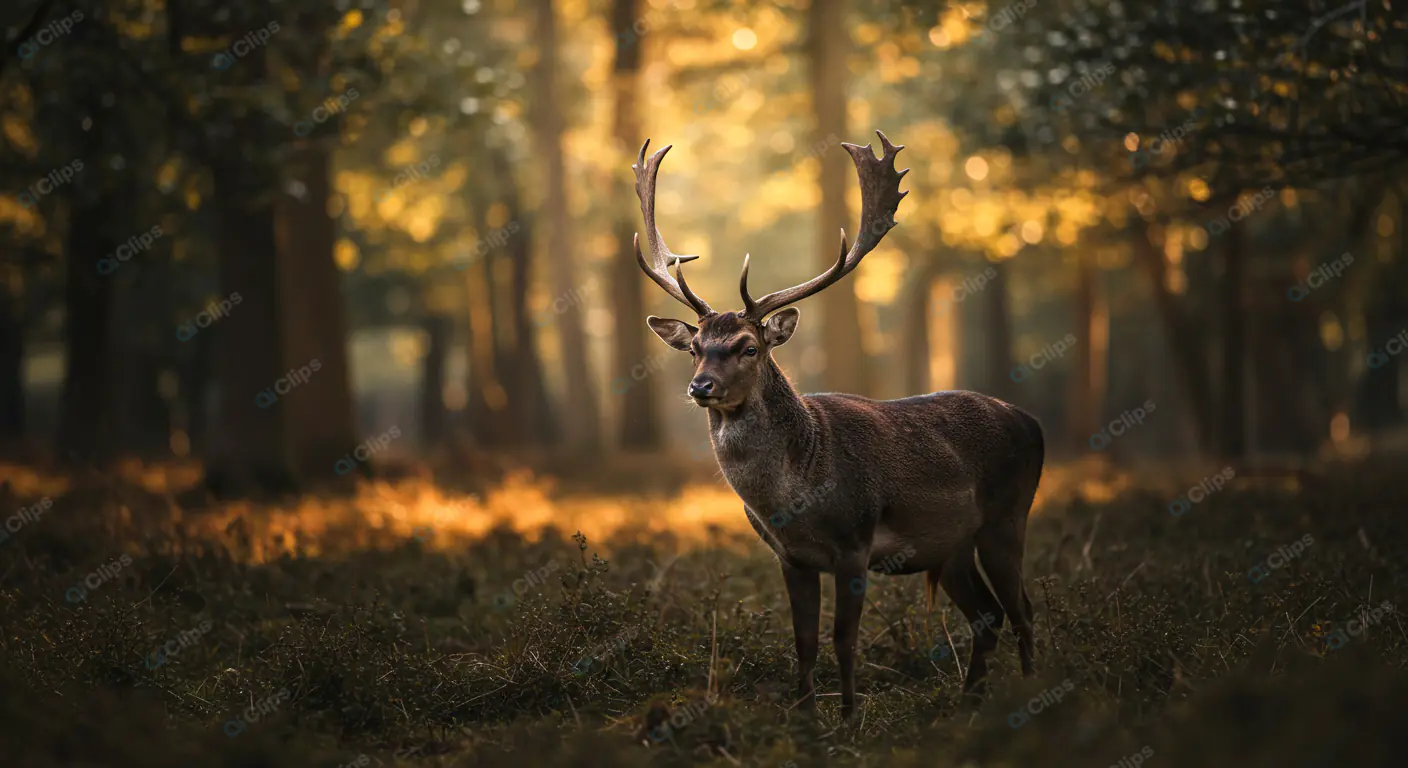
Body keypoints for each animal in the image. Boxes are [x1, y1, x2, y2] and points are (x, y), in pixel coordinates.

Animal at [631, 132, 1045, 720]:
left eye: (749, 347)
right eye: (694, 348)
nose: (700, 387)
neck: (795, 499)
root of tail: (1032, 422)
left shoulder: (855, 544)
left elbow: (843, 640)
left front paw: (848, 718)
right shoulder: (791, 558)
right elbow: (803, 641)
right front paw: (806, 716)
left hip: (1008, 517)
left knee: (1022, 608)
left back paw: (1030, 692)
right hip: (953, 547)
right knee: (986, 616)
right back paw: (970, 700)